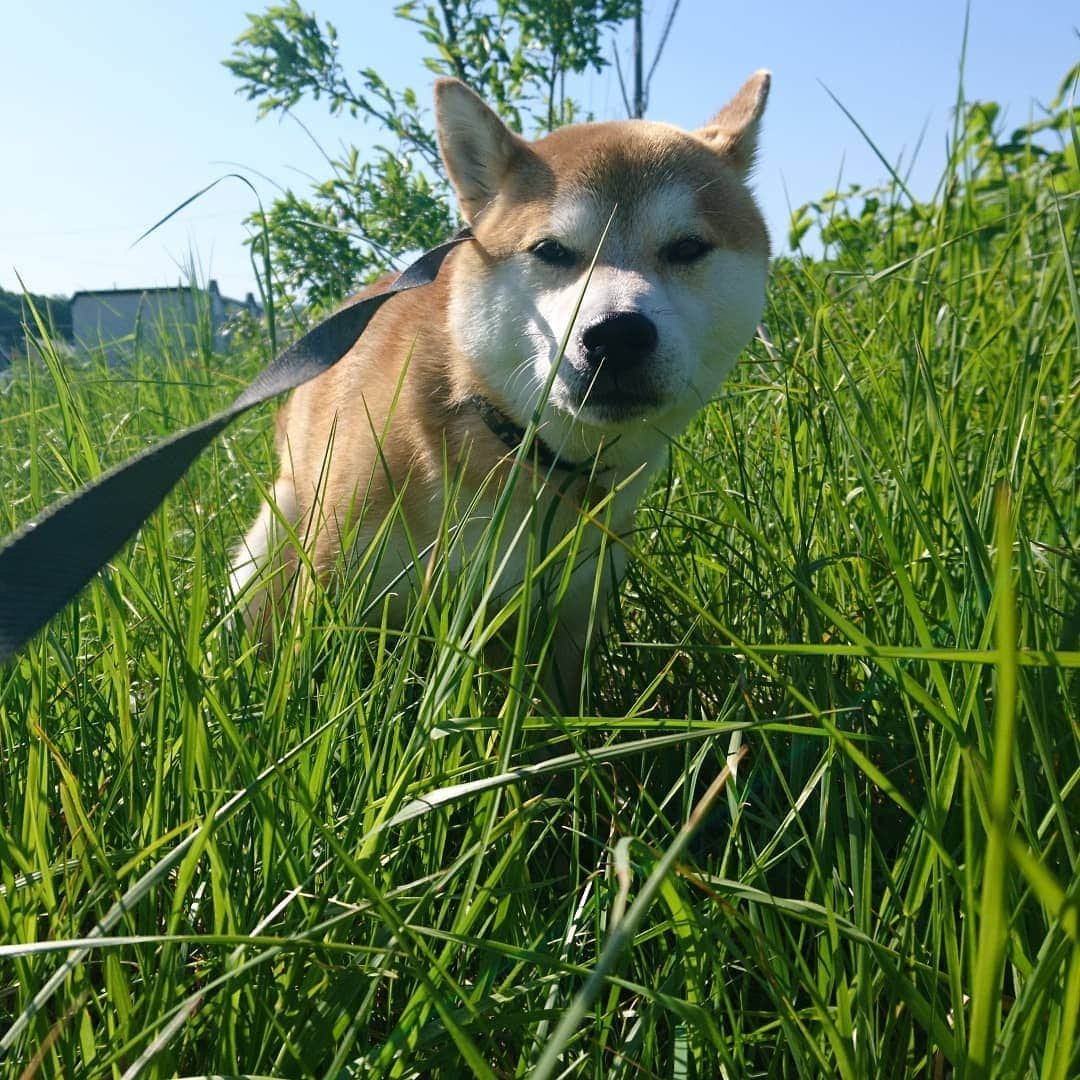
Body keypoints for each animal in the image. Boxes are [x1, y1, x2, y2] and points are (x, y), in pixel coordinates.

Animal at [232, 71, 773, 704]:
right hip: (269, 539)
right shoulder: (333, 587)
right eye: (551, 250)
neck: (516, 452)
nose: (617, 334)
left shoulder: (569, 616)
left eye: (687, 248)